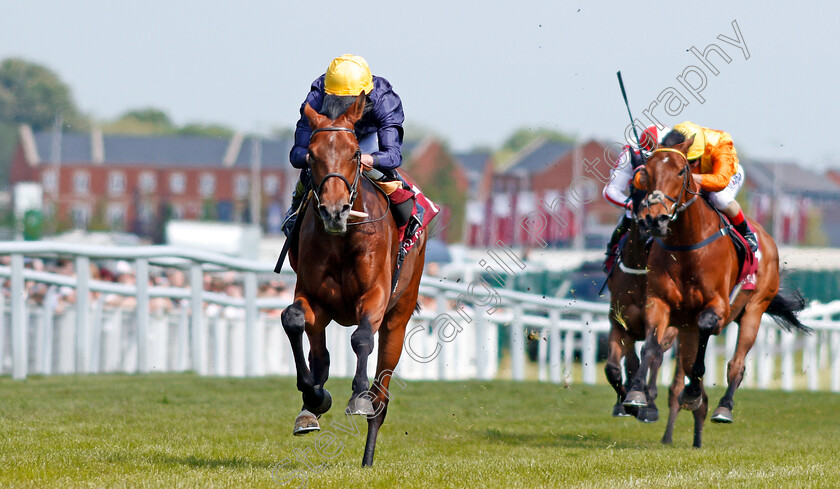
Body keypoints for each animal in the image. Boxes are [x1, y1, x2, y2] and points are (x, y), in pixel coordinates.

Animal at [280, 92, 426, 466]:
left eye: (356, 154)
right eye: (311, 155)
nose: (334, 211)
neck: (342, 238)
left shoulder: (375, 296)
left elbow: (361, 339)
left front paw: (358, 396)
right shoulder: (313, 297)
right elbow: (293, 318)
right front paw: (314, 398)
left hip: (398, 318)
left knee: (382, 396)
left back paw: (368, 456)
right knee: (319, 354)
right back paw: (312, 405)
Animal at [604, 215, 676, 422]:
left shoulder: (665, 326)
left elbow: (653, 355)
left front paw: (645, 402)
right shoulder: (621, 326)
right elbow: (616, 367)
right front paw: (624, 403)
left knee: (656, 358)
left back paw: (649, 401)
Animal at [624, 134, 808, 446]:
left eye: (681, 171)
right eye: (646, 172)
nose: (656, 219)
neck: (686, 247)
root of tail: (767, 238)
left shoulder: (717, 307)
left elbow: (705, 337)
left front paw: (694, 393)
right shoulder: (660, 302)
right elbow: (651, 344)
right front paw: (637, 393)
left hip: (754, 310)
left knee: (737, 364)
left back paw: (723, 406)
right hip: (687, 327)